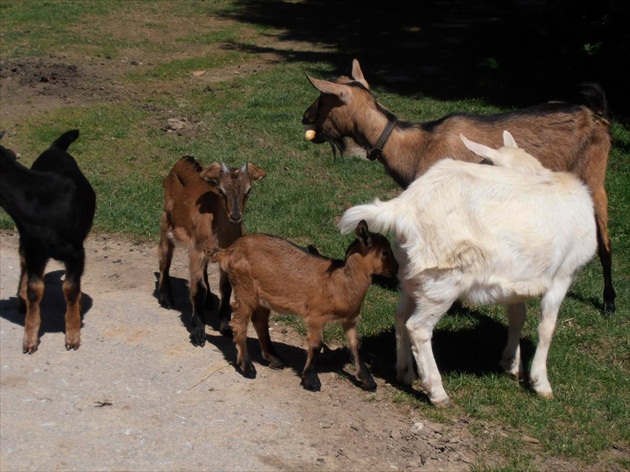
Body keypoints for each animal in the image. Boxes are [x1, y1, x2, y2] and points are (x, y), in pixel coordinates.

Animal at [159, 157, 268, 344]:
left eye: (248, 191)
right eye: (222, 191)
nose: (235, 216)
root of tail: (184, 159)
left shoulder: (226, 256)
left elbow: (226, 287)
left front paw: (225, 326)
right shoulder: (195, 250)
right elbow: (198, 287)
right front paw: (198, 332)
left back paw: (209, 300)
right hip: (166, 225)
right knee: (164, 261)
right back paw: (166, 298)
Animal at [212, 221, 400, 390]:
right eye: (385, 252)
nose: (396, 269)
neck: (340, 281)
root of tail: (228, 251)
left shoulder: (349, 319)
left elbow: (356, 344)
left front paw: (369, 381)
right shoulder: (316, 316)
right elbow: (316, 344)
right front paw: (311, 381)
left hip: (260, 296)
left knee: (260, 321)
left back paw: (275, 359)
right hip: (245, 288)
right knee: (239, 324)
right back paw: (248, 368)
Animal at [304, 58, 616, 314]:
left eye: (323, 98)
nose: (305, 117)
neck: (416, 146)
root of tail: (597, 116)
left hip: (594, 178)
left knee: (604, 241)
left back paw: (609, 302)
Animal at [340, 132, 596, 406]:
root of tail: (404, 207)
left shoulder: (516, 278)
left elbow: (518, 316)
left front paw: (511, 364)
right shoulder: (563, 274)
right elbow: (547, 327)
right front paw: (540, 383)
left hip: (412, 273)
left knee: (400, 316)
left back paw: (405, 372)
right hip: (442, 280)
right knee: (418, 328)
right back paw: (437, 392)